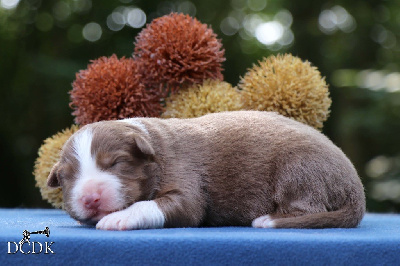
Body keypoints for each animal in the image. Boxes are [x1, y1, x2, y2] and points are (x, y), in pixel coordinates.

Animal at [47, 110, 366, 231]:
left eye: (115, 163)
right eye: (67, 177)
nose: (90, 198)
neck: (153, 144)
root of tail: (356, 187)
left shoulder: (186, 183)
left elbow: (160, 204)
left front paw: (120, 217)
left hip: (300, 169)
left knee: (308, 207)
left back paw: (269, 218)